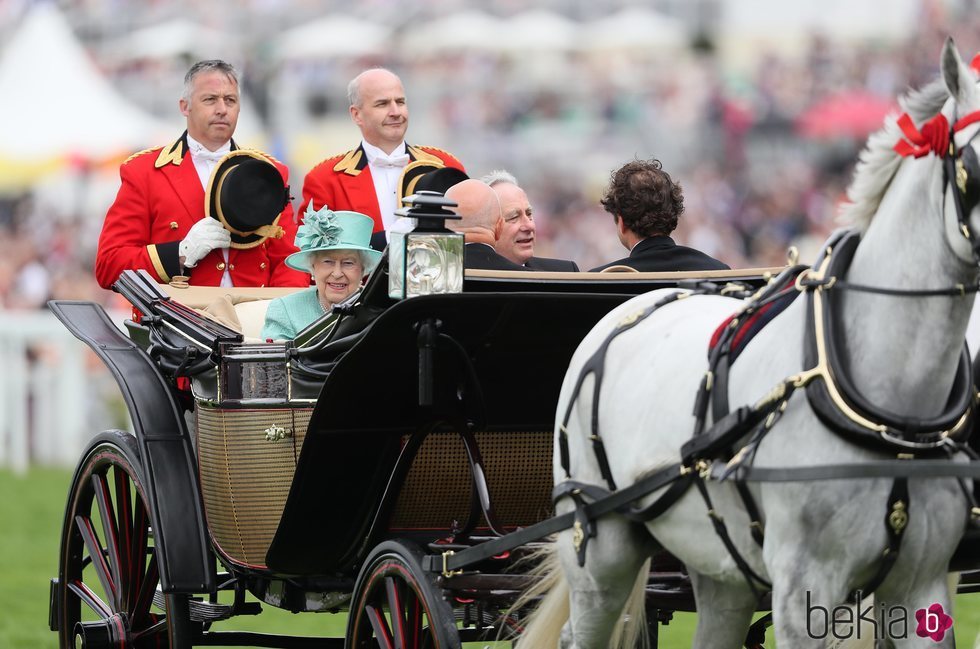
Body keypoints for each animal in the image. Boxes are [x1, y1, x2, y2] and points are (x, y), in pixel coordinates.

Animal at [524, 41, 980, 648]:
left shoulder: (920, 583)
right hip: (600, 542)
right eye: (972, 165)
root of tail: (627, 310)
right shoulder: (802, 589)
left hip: (714, 559)